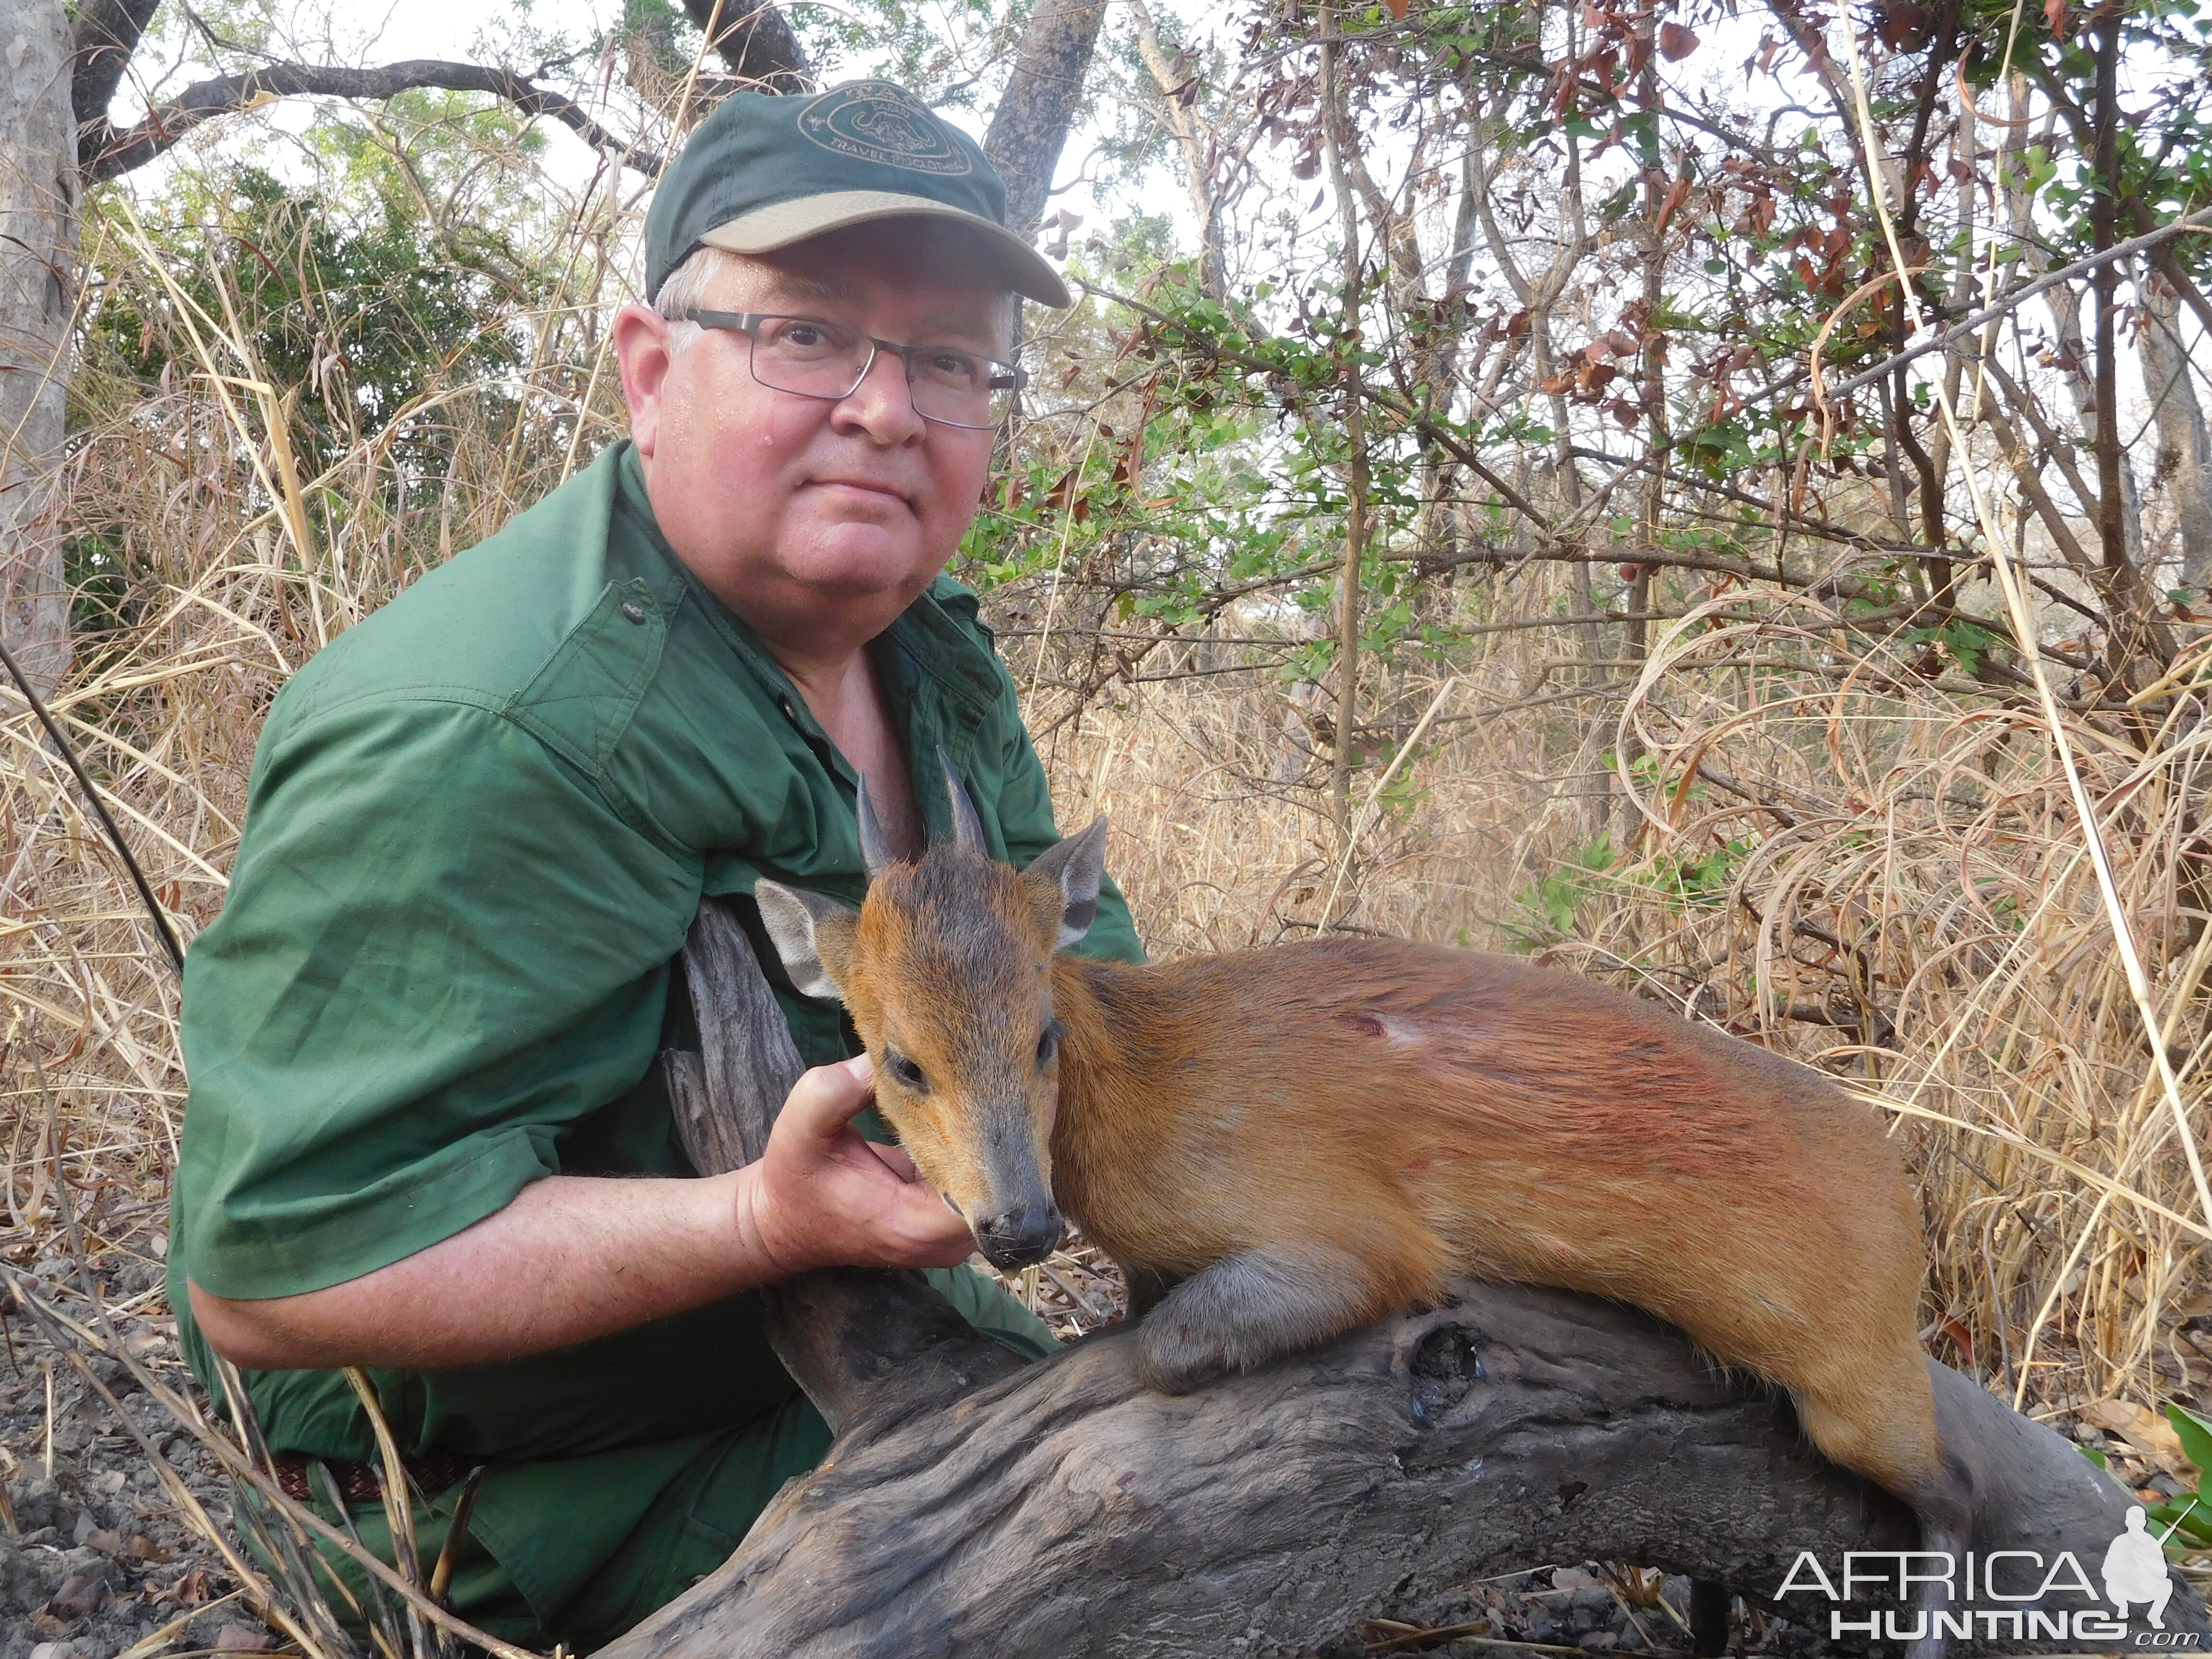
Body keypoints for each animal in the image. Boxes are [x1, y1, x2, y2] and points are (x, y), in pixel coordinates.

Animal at [761, 765, 1973, 1654]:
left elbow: (1168, 1340)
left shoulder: (1353, 1236)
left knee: (1953, 1488)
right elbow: (1139, 1314)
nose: (1019, 1226)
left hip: (1852, 1373)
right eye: (900, 1060)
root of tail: (1902, 1199)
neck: (1152, 1086)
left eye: (1042, 1036)